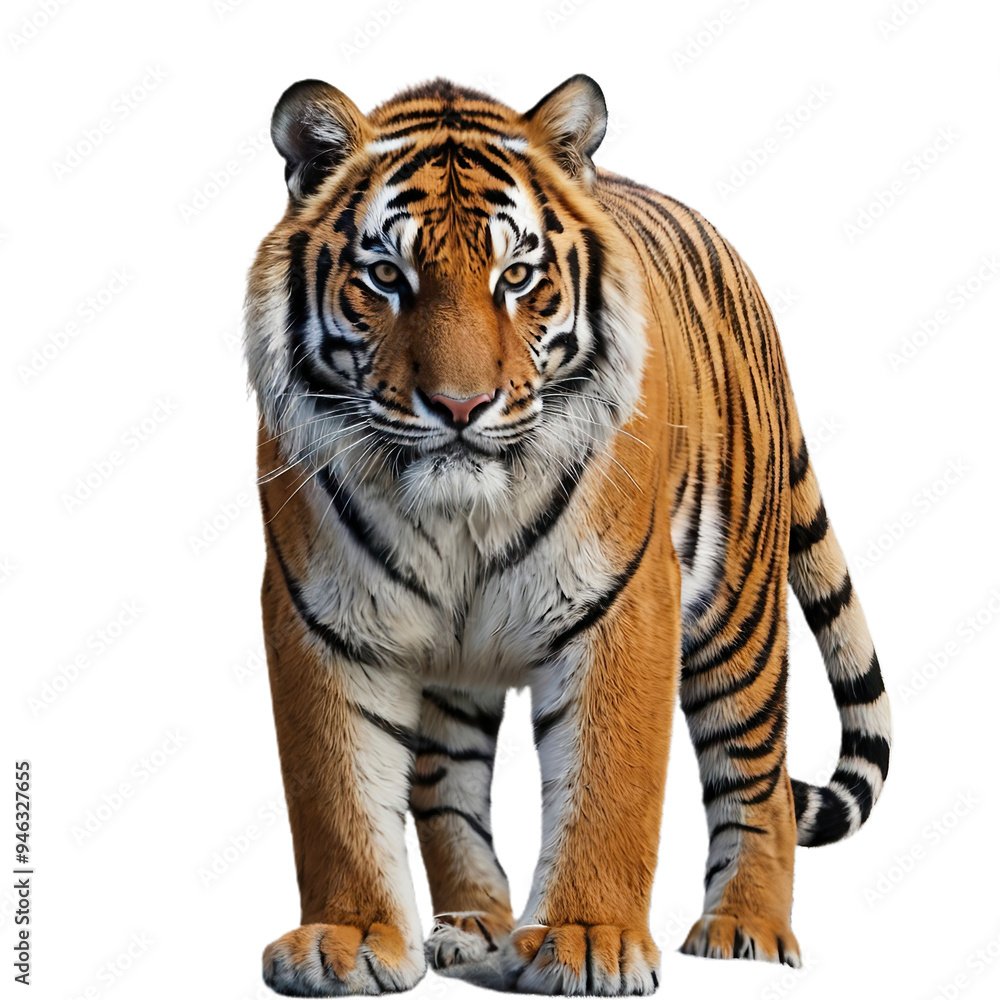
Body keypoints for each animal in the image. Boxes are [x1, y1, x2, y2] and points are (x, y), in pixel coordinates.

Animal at [243, 74, 892, 997]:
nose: (460, 406)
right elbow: (335, 790)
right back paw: (475, 929)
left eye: (516, 276)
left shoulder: (623, 603)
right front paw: (351, 938)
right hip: (455, 668)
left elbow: (609, 786)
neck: (459, 517)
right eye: (386, 276)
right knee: (446, 789)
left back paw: (748, 933)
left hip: (740, 611)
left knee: (758, 774)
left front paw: (587, 941)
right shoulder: (319, 612)